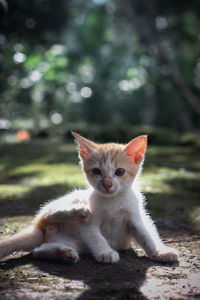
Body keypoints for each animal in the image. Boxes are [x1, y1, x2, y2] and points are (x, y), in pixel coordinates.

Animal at [0, 132, 178, 264]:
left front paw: (158, 252)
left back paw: (65, 253)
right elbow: (95, 237)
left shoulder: (135, 218)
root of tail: (40, 228)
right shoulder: (89, 225)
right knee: (51, 214)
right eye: (96, 171)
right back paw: (77, 212)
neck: (113, 201)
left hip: (74, 243)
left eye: (120, 172)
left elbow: (146, 236)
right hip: (69, 201)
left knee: (38, 251)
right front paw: (105, 252)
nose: (107, 184)